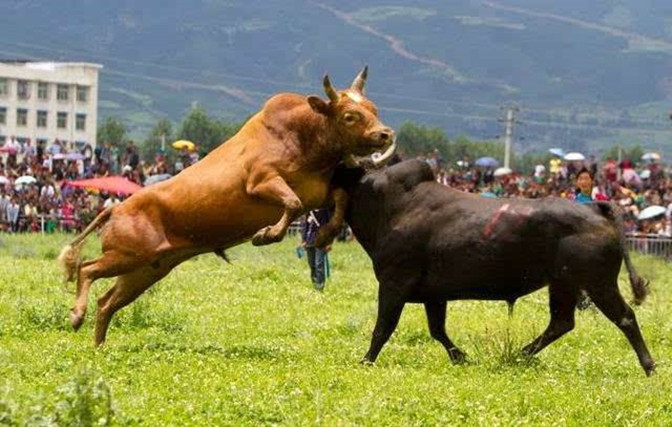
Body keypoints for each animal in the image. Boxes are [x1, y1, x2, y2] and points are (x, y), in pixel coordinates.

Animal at [59, 67, 394, 348]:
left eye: (373, 109)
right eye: (350, 115)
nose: (385, 134)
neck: (303, 137)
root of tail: (116, 209)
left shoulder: (319, 193)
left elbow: (339, 202)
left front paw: (323, 235)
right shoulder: (262, 181)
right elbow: (291, 203)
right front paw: (264, 235)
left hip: (144, 271)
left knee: (106, 303)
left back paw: (98, 346)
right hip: (126, 256)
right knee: (86, 269)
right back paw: (76, 315)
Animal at [334, 160, 652, 374]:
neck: (391, 204)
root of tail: (593, 207)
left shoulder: (394, 283)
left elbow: (383, 327)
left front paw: (366, 360)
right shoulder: (434, 294)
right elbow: (437, 330)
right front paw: (461, 357)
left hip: (599, 282)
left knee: (624, 317)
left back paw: (649, 365)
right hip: (563, 284)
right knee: (561, 323)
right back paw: (521, 354)